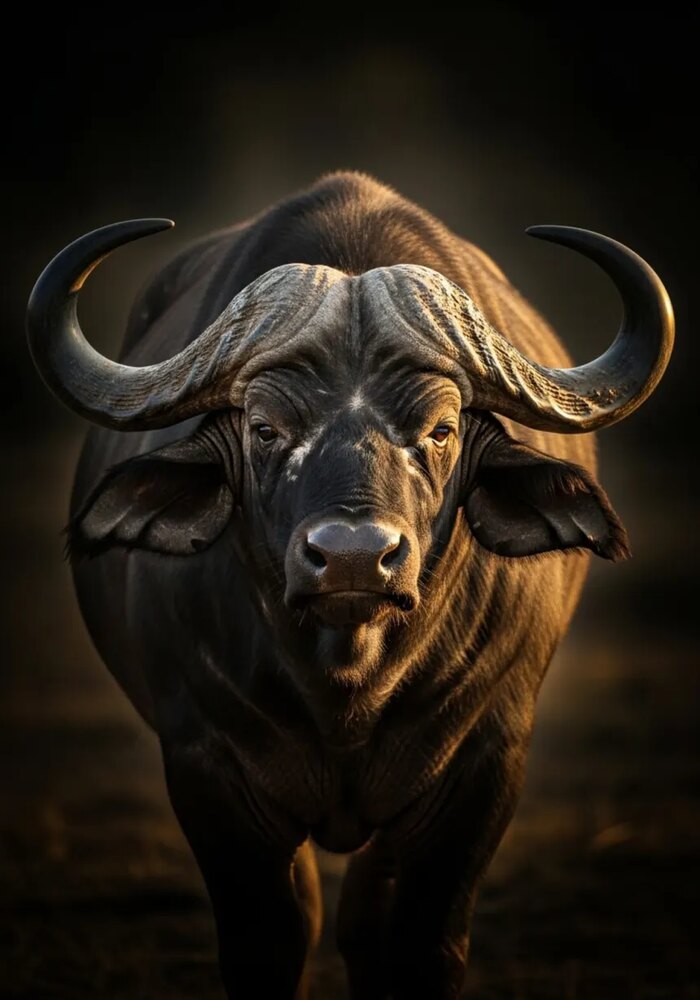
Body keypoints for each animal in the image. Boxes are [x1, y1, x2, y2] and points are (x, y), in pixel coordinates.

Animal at [27, 172, 674, 999]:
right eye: (265, 428)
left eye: (440, 429)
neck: (345, 686)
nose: (355, 559)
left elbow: (418, 944)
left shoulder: (485, 762)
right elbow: (270, 941)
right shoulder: (205, 765)